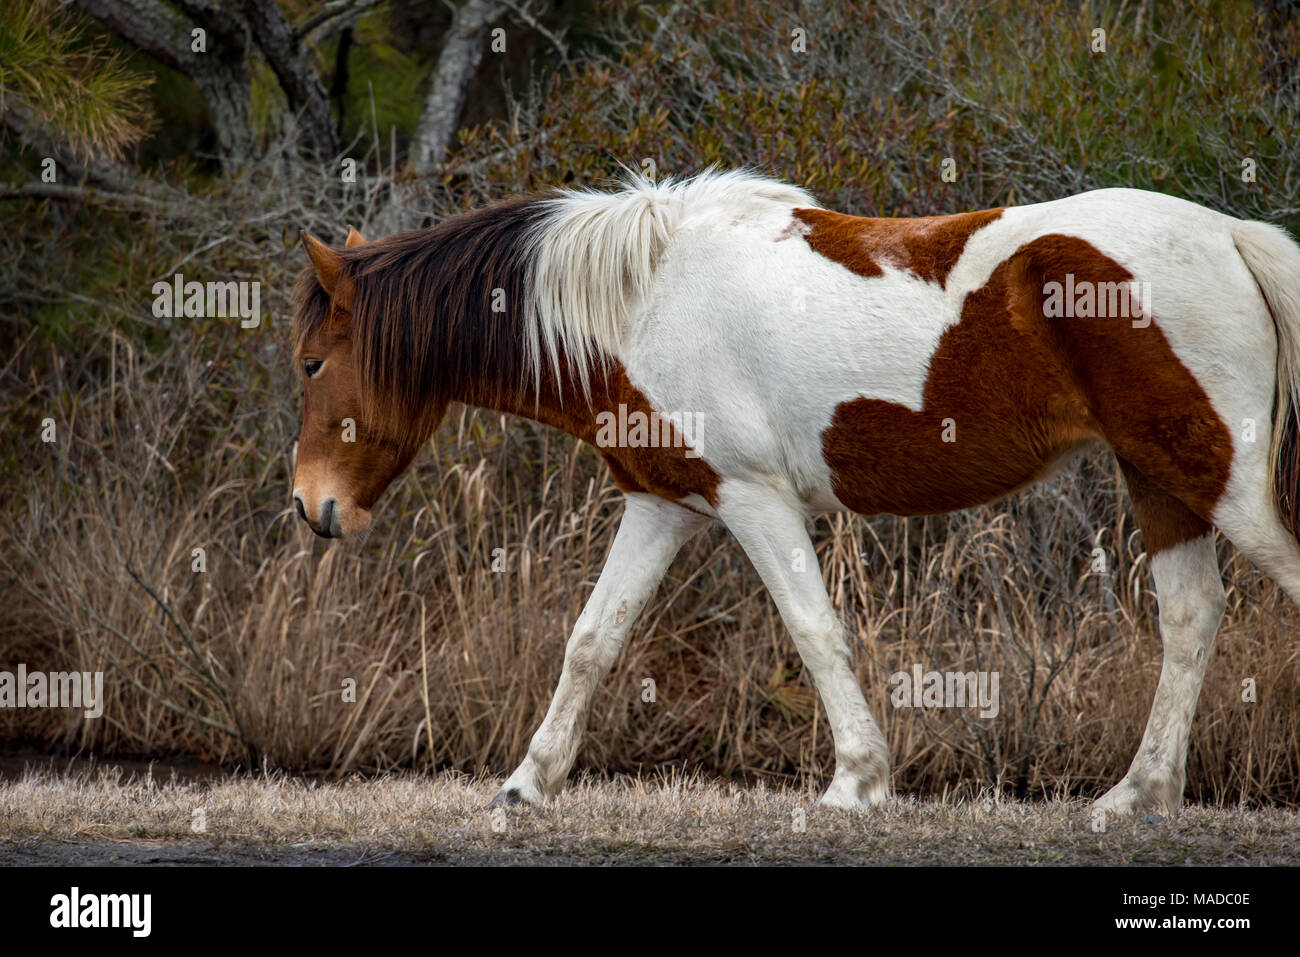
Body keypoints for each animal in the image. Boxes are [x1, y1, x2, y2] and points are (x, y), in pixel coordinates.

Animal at [292, 167, 1300, 811]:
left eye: (310, 363)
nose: (312, 507)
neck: (643, 298)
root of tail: (1229, 237)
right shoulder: (663, 507)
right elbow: (592, 640)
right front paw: (525, 786)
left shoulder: (753, 501)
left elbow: (814, 631)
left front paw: (856, 783)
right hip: (1161, 479)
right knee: (1190, 617)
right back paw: (1136, 795)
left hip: (1223, 484)